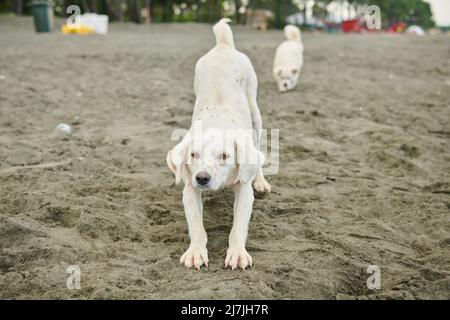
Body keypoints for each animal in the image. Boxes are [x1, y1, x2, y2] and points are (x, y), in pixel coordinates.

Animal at [166, 18, 268, 270]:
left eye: (224, 156)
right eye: (193, 155)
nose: (202, 177)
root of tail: (223, 45)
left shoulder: (244, 190)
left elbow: (239, 225)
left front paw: (237, 252)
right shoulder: (189, 189)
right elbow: (196, 225)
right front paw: (195, 251)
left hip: (255, 112)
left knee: (259, 150)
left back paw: (261, 180)